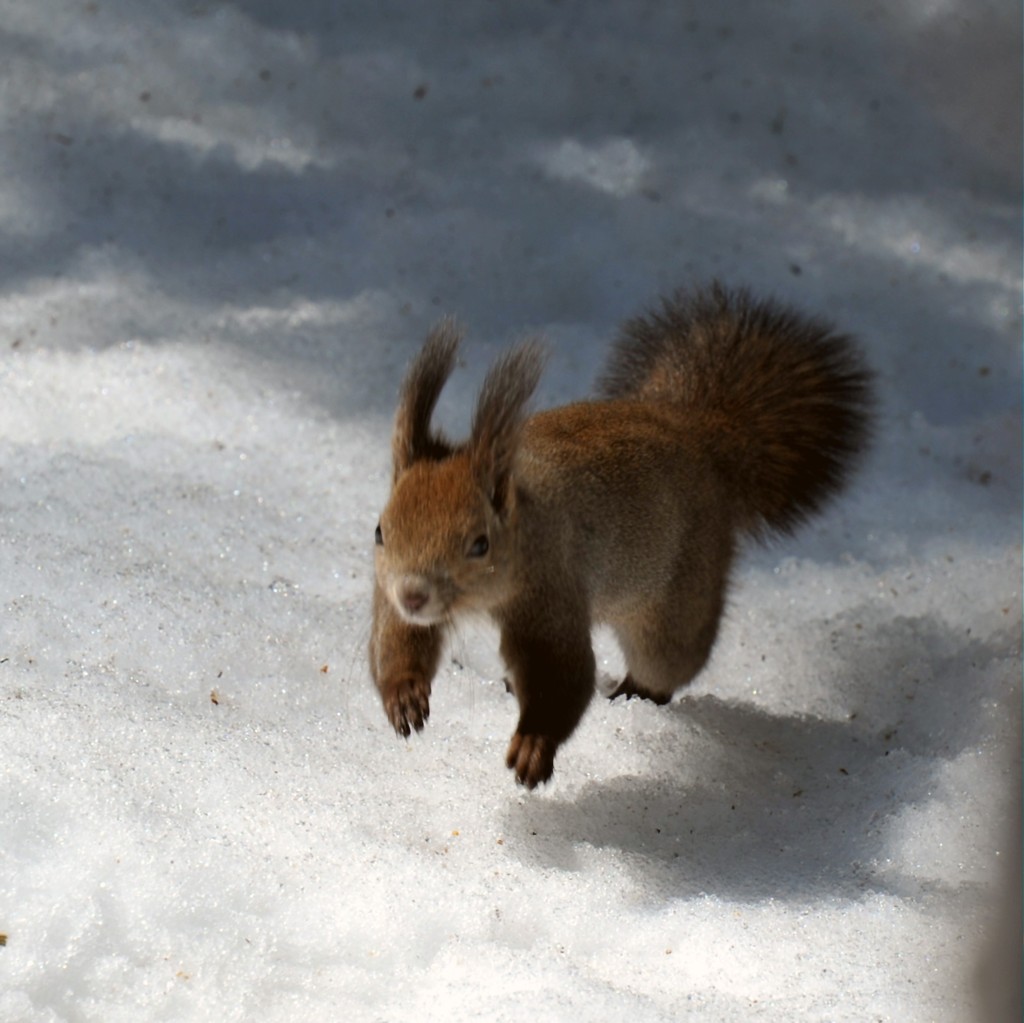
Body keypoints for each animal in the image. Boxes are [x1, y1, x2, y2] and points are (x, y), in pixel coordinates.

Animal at [368, 284, 872, 786]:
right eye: (379, 531)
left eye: (480, 544)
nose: (413, 594)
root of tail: (701, 433)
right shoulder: (394, 598)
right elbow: (399, 639)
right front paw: (404, 695)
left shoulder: (552, 591)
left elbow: (563, 673)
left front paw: (533, 744)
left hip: (677, 603)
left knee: (668, 661)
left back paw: (635, 693)